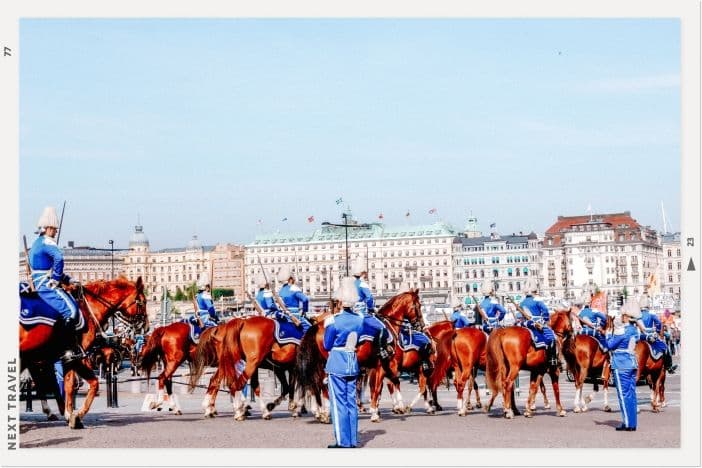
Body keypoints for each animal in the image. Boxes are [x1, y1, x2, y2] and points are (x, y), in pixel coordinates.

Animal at [19, 276, 146, 430]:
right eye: (143, 302)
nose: (146, 326)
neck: (88, 311)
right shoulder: (76, 358)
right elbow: (92, 383)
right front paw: (77, 415)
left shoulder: (65, 358)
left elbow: (67, 385)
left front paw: (69, 414)